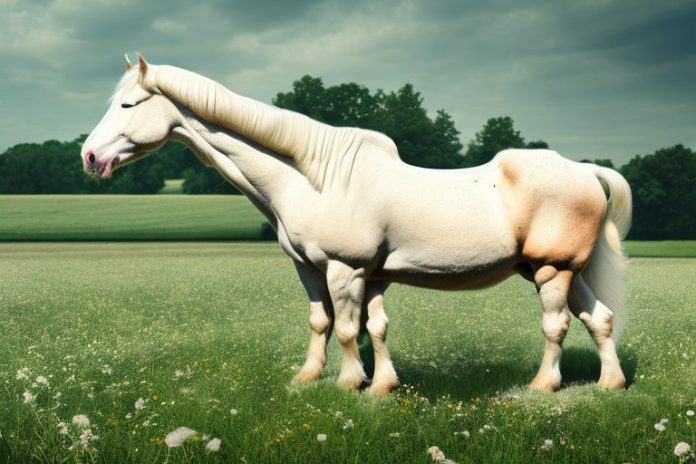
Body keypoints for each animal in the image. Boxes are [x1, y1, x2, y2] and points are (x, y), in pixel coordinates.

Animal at [81, 54, 631, 395]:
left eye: (128, 104)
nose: (89, 156)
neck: (315, 177)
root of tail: (585, 170)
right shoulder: (327, 271)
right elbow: (345, 324)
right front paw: (344, 381)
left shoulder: (345, 269)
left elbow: (348, 329)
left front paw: (350, 383)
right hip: (568, 272)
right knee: (600, 319)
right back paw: (611, 384)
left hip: (552, 271)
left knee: (557, 325)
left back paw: (543, 385)